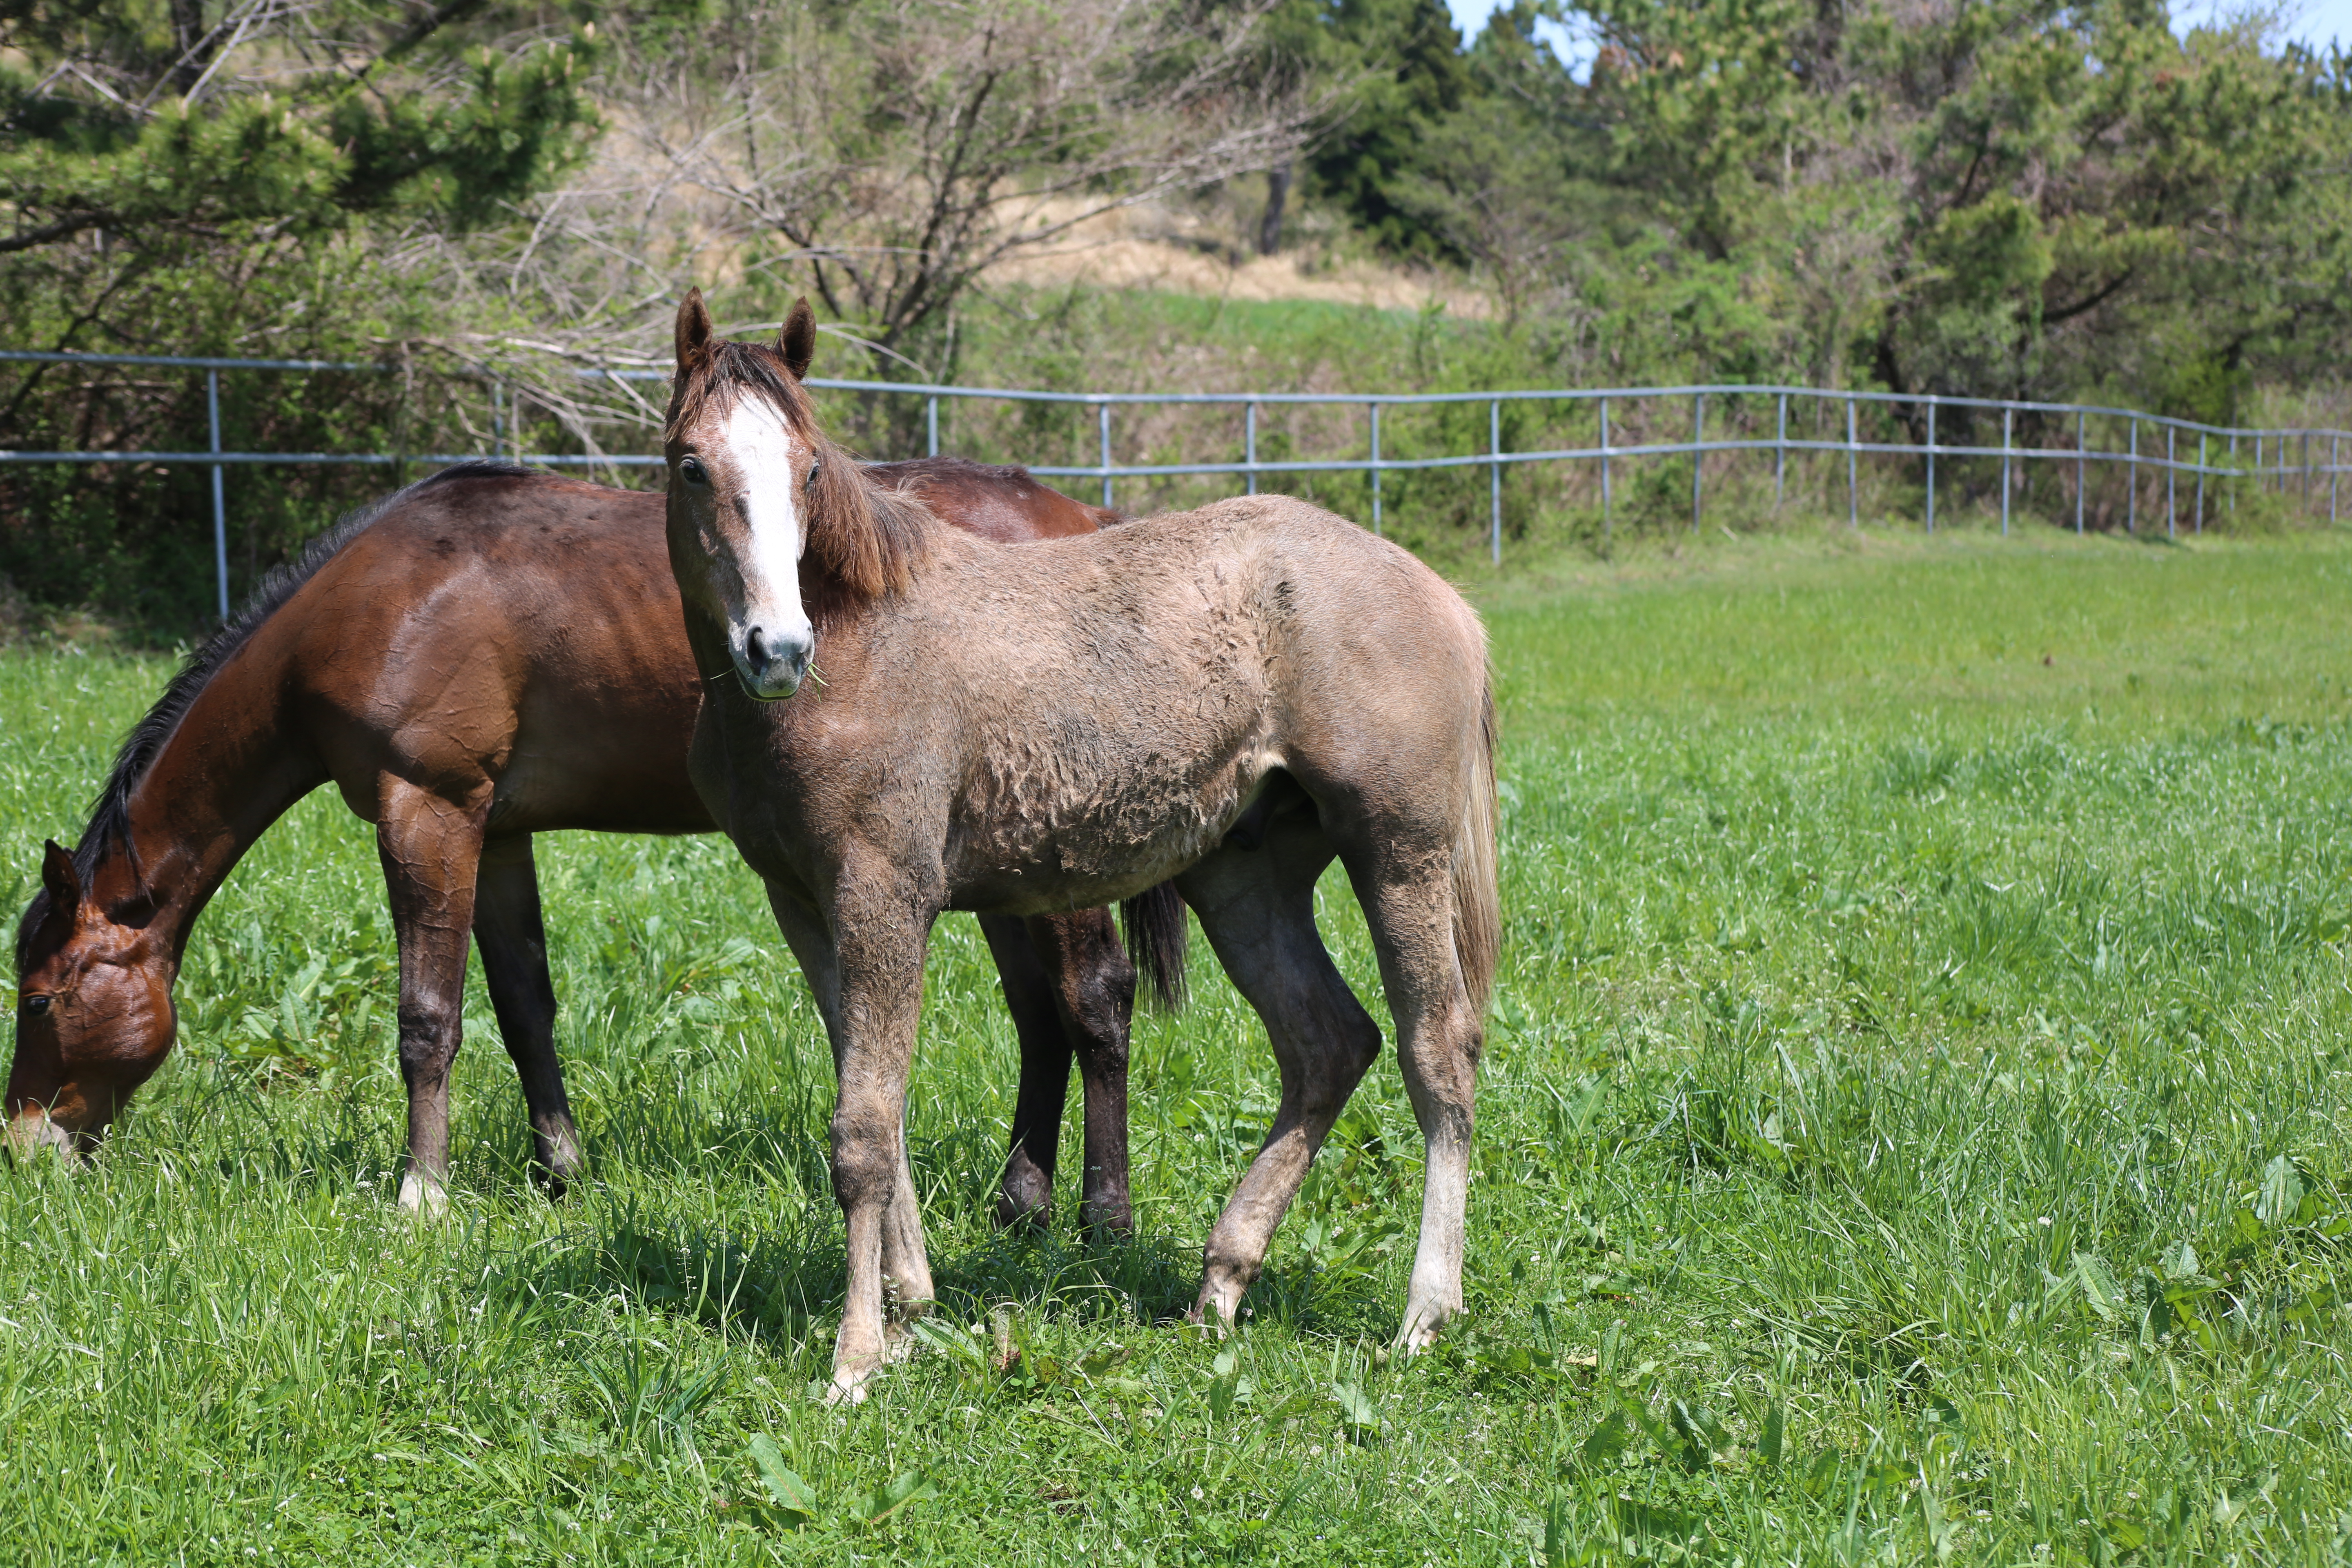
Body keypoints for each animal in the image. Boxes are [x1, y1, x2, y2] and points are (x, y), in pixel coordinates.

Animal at [4, 446, 1171, 1232]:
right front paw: (556, 1169)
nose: (24, 1145)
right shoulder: (498, 832)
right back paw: (1018, 1200)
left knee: (1093, 1000)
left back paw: (1098, 1217)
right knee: (1039, 1015)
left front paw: (421, 1193)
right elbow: (525, 1006)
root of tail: (1079, 509)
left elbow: (428, 1017)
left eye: (44, 1000)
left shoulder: (428, 810)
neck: (381, 600)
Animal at [654, 291, 1496, 1401]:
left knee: (1436, 1051)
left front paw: (857, 1358)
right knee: (1327, 1043)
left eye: (809, 468)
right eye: (692, 466)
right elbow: (875, 1105)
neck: (861, 649)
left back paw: (1422, 1313)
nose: (776, 649)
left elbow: (864, 1130)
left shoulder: (884, 897)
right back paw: (1219, 1284)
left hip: (1398, 854)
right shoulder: (803, 905)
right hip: (1243, 880)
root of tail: (1444, 599)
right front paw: (913, 1307)